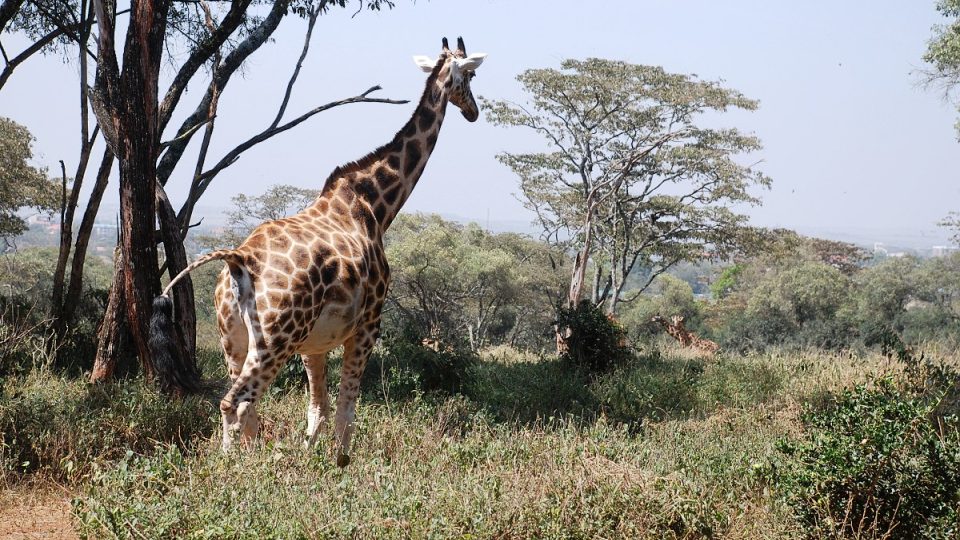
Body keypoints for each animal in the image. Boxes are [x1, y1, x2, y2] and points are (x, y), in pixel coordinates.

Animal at [154, 39, 492, 468]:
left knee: (244, 404)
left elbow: (318, 406)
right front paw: (341, 463)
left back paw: (249, 460)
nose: (474, 112)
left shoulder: (312, 343)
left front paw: (309, 457)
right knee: (236, 402)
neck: (376, 207)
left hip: (234, 337)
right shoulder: (368, 324)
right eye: (472, 75)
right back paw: (236, 469)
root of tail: (239, 260)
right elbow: (347, 406)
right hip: (275, 338)